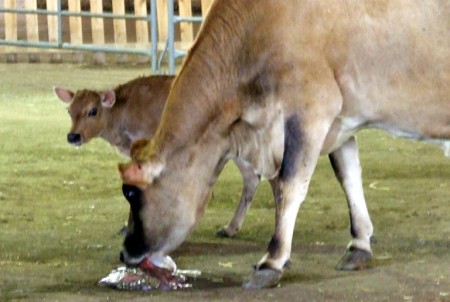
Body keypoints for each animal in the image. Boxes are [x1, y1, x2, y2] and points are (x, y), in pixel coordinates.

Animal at [119, 0, 450, 288]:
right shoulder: (340, 119)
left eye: (132, 192)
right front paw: (359, 245)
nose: (124, 253)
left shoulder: (311, 110)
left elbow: (289, 186)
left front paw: (272, 261)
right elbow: (348, 176)